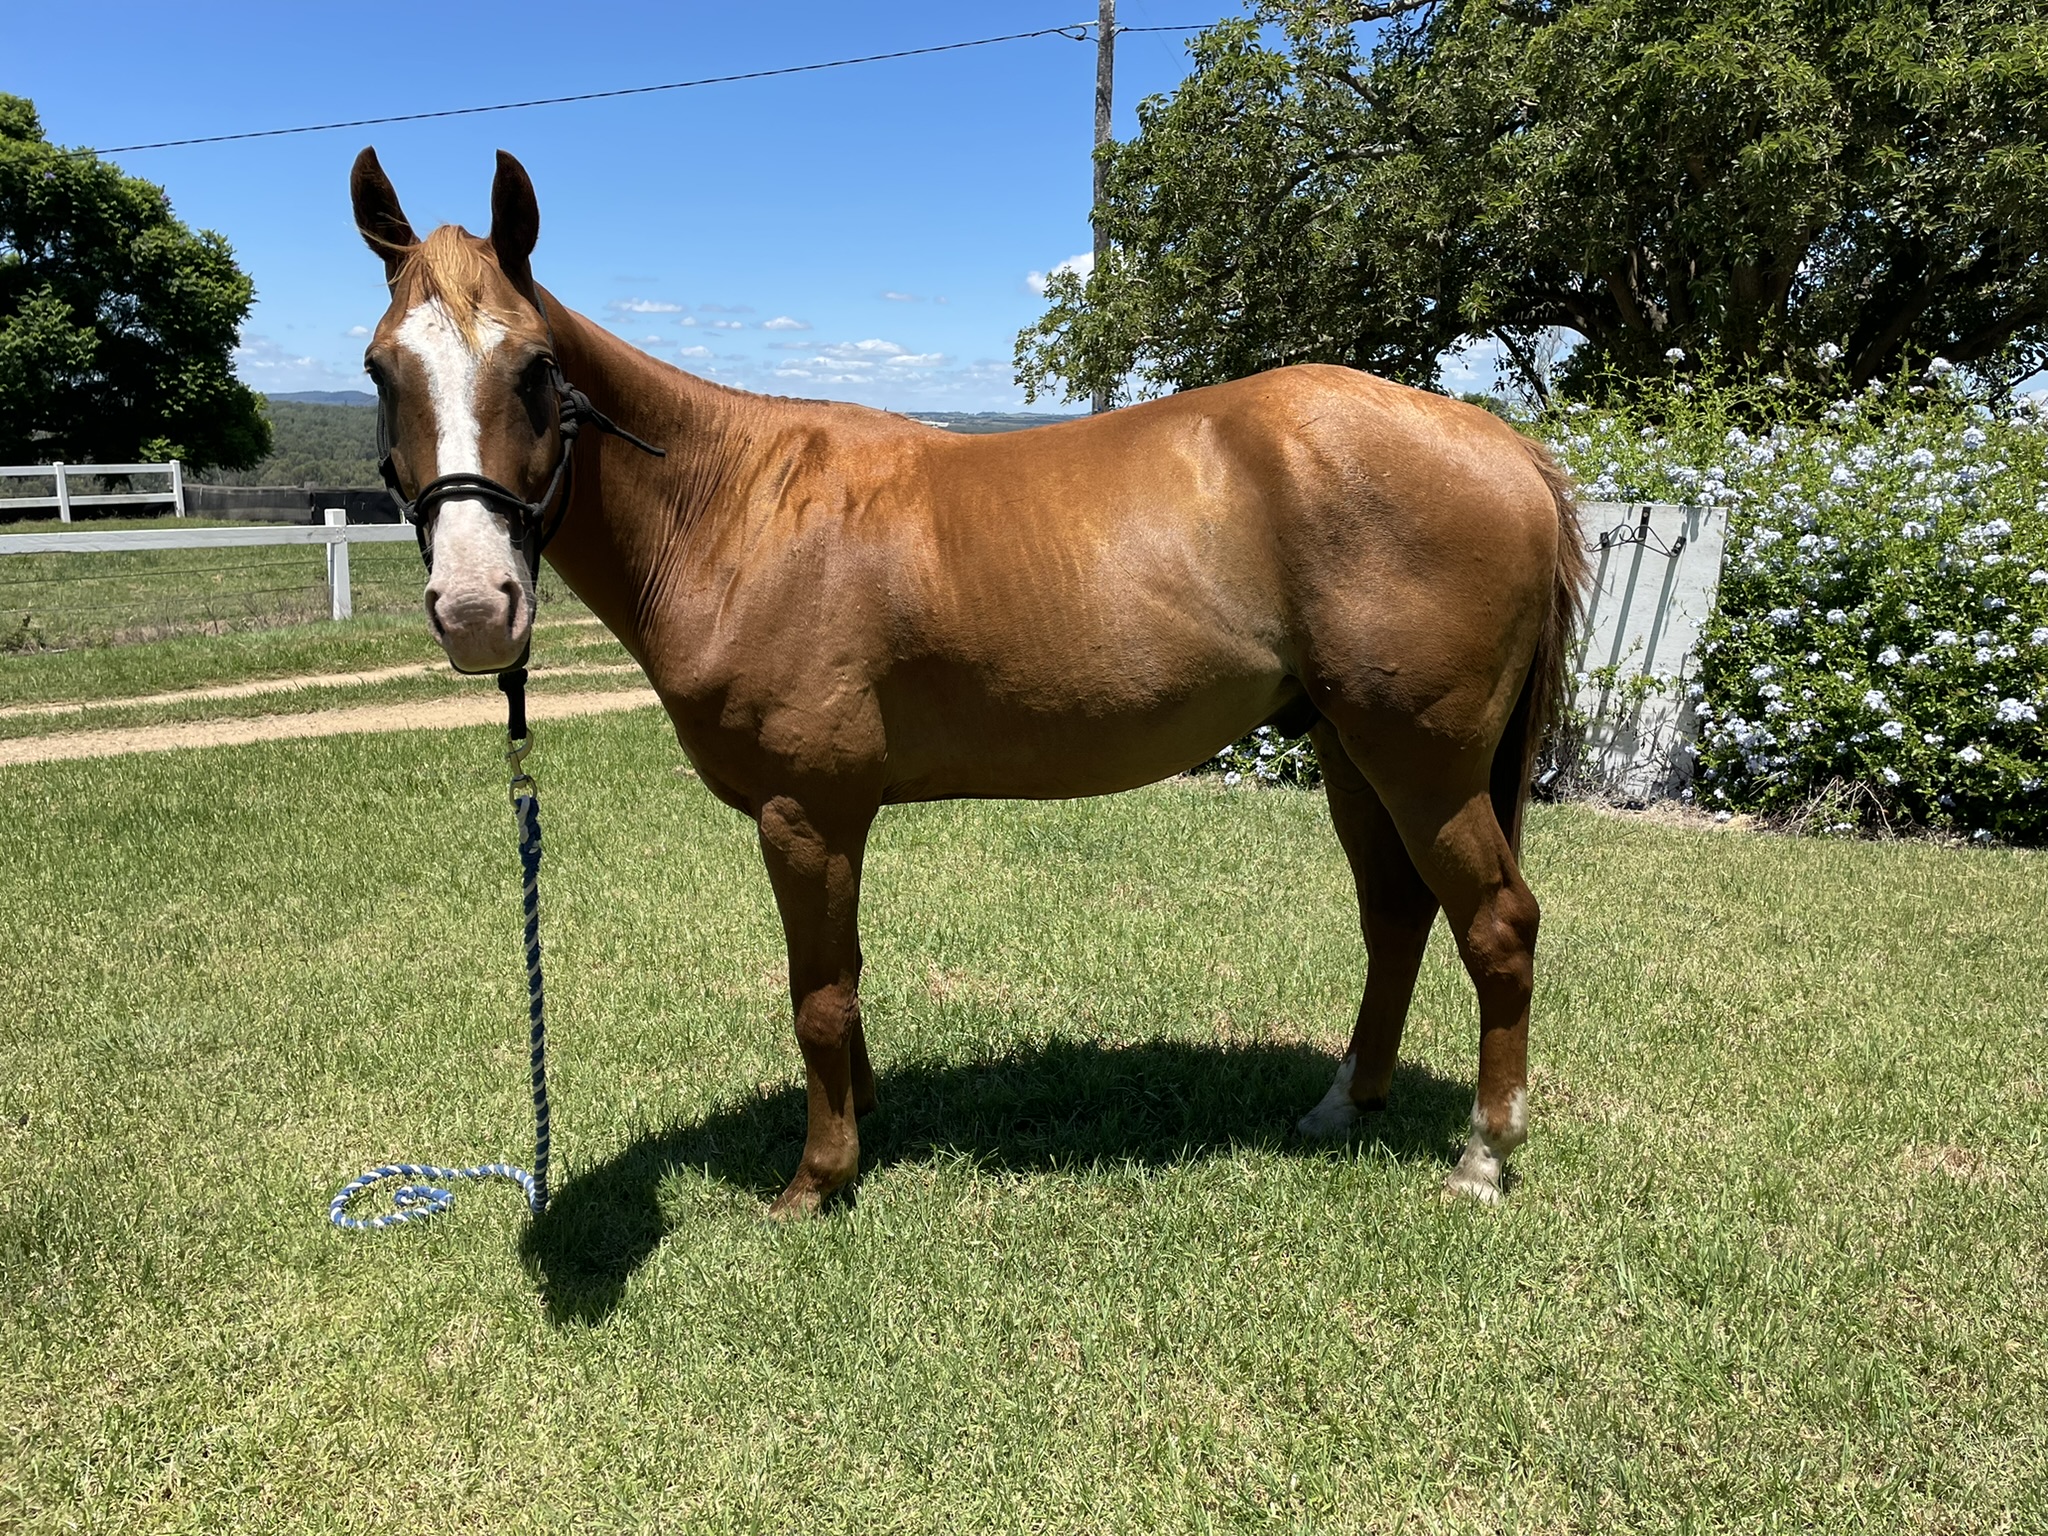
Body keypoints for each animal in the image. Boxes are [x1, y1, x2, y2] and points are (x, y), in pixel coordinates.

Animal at [350, 147, 1591, 1217]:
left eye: (535, 368)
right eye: (379, 369)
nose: (474, 607)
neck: (737, 511)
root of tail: (1507, 450)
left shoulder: (805, 813)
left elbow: (815, 998)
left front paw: (816, 1180)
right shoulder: (830, 821)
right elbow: (843, 982)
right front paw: (861, 1129)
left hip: (1419, 760)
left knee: (1495, 924)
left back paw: (1483, 1156)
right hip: (1346, 747)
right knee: (1395, 917)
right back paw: (1343, 1105)